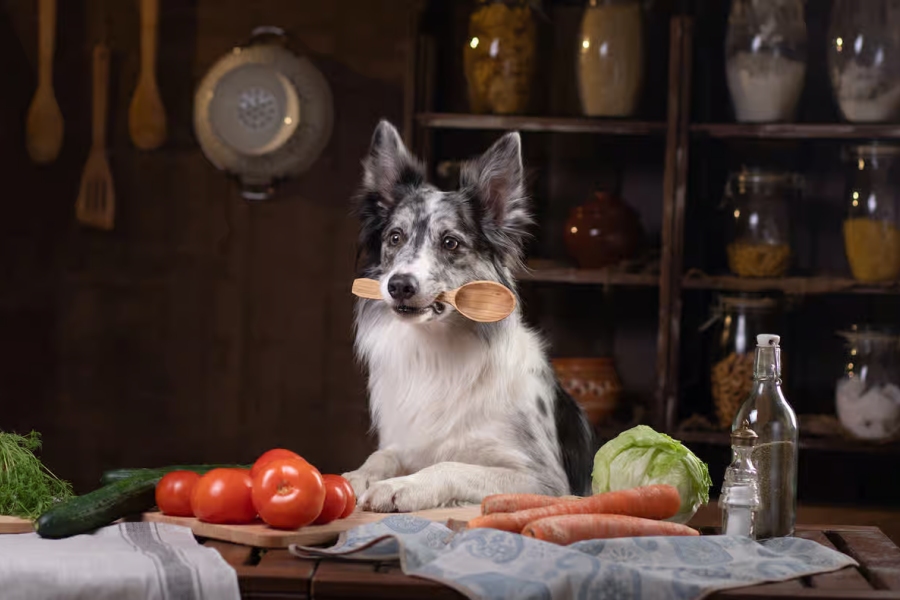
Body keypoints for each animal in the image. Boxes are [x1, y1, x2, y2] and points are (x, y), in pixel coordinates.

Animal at [342, 120, 596, 510]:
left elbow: (450, 464)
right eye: (395, 237)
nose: (399, 285)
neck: (437, 350)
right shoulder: (407, 441)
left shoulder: (545, 480)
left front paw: (402, 486)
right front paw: (359, 476)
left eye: (450, 243)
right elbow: (382, 455)